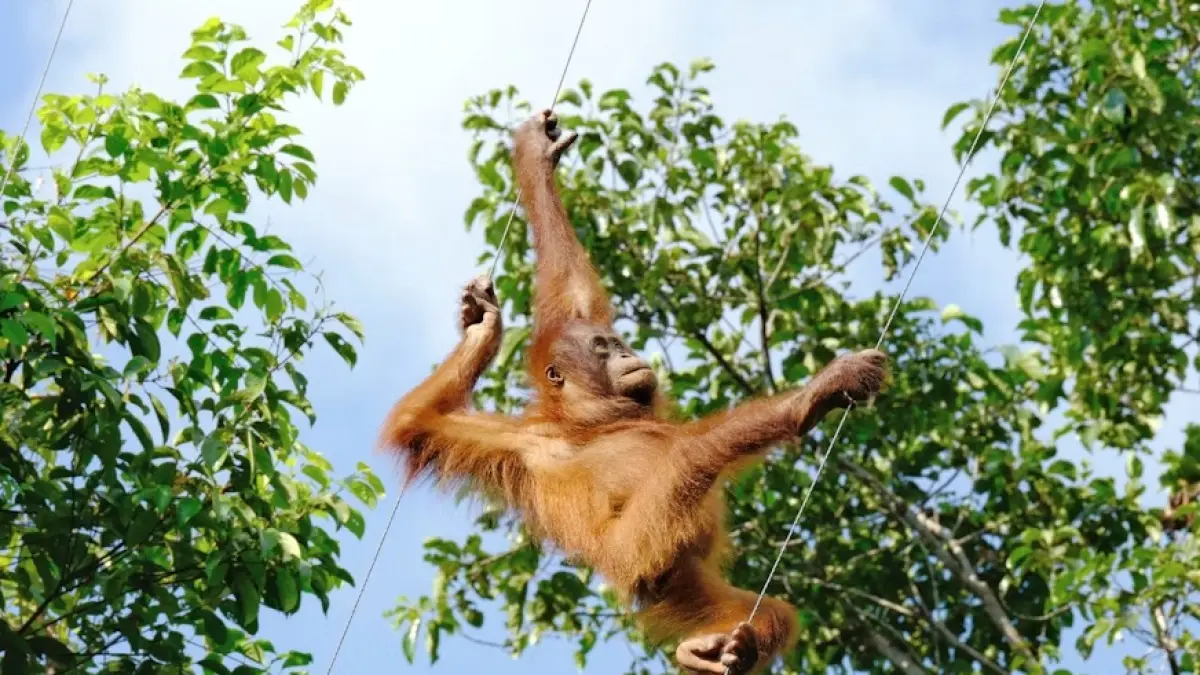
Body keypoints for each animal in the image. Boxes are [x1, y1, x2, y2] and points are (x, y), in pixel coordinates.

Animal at [382, 109, 889, 674]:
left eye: (617, 342)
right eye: (603, 348)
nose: (628, 355)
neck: (588, 421)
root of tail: (647, 584)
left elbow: (569, 291)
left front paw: (536, 161)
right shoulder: (523, 444)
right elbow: (421, 425)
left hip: (681, 578)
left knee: (767, 610)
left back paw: (720, 650)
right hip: (639, 550)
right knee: (691, 454)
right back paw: (808, 404)